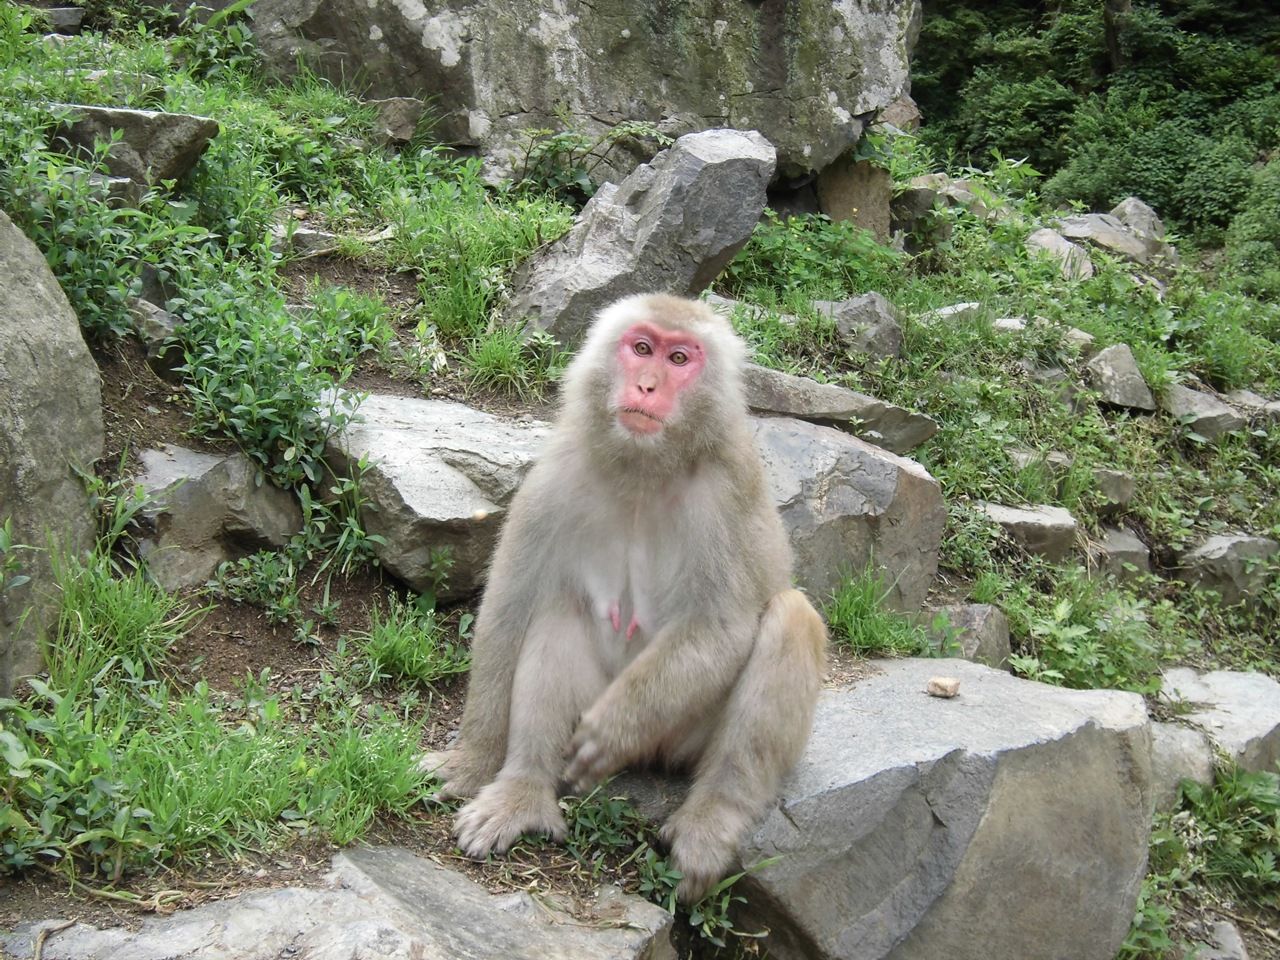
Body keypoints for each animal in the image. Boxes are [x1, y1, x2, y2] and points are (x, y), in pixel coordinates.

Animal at [436, 293, 827, 903]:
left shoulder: (728, 490)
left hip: (687, 732)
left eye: (679, 358)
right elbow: (510, 605)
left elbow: (721, 627)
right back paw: (523, 791)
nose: (646, 384)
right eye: (642, 348)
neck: (646, 465)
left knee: (791, 617)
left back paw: (711, 819)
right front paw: (474, 760)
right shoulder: (554, 474)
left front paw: (613, 728)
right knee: (558, 611)